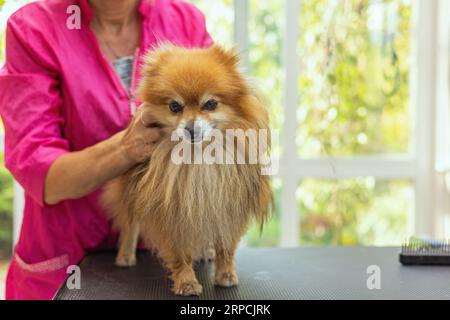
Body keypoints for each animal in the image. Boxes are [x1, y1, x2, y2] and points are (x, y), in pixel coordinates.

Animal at [100, 43, 272, 296]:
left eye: (210, 104)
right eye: (174, 106)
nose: (190, 128)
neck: (199, 158)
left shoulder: (226, 203)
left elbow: (226, 243)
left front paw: (225, 273)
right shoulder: (171, 210)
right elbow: (178, 251)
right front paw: (187, 282)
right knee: (130, 225)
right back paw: (126, 255)